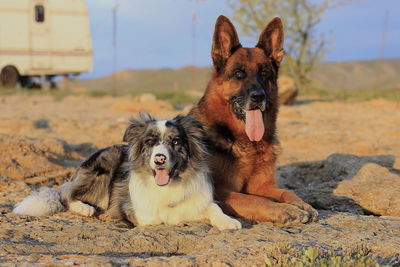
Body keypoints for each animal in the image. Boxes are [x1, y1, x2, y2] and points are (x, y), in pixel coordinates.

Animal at [13, 112, 241, 230]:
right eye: (149, 142)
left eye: (176, 141)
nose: (159, 159)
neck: (167, 187)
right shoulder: (140, 213)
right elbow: (158, 218)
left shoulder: (198, 201)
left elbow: (213, 208)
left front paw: (229, 222)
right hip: (106, 161)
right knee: (67, 195)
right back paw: (85, 209)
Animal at [189, 14, 318, 224]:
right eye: (238, 74)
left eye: (264, 73)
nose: (258, 96)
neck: (247, 143)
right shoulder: (221, 192)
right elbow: (255, 200)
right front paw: (285, 210)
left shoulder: (262, 187)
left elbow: (286, 192)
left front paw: (302, 204)